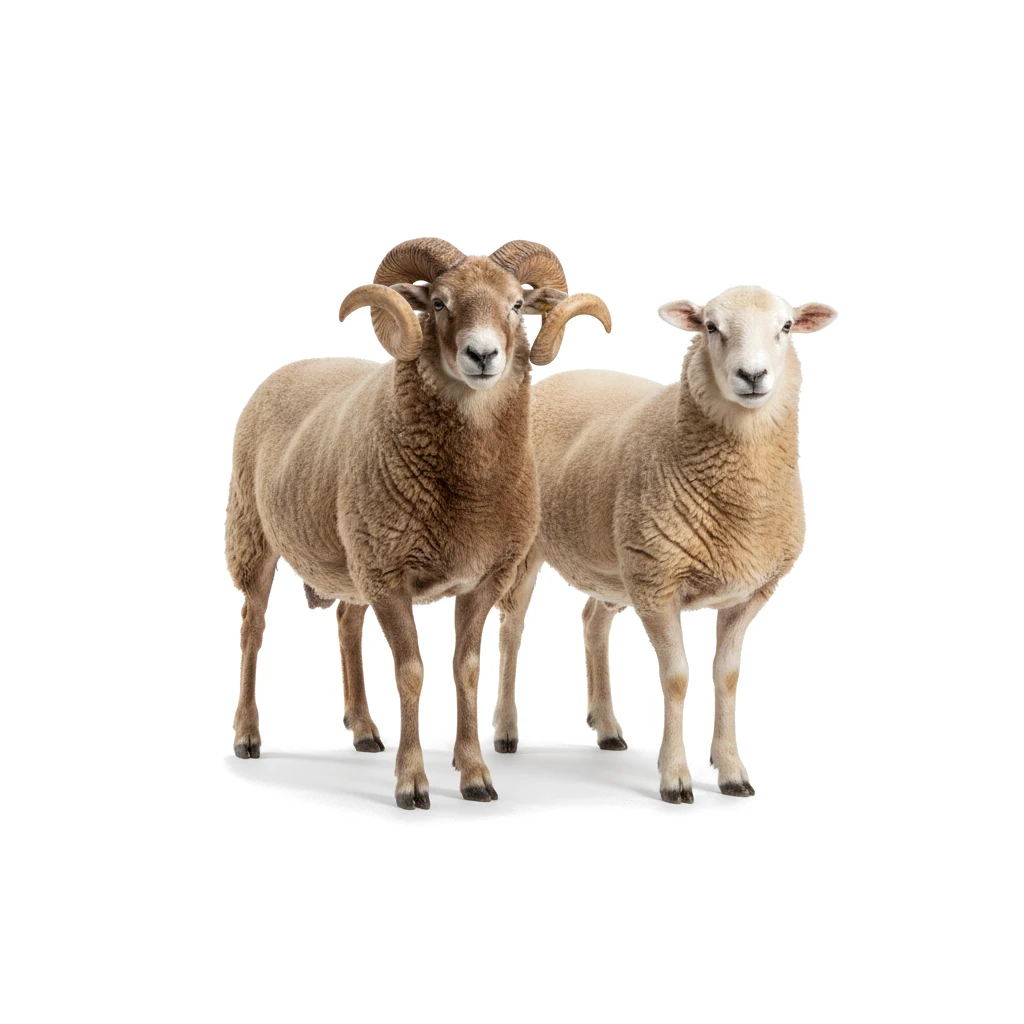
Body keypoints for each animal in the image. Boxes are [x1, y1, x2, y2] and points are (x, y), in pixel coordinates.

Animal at [225, 238, 611, 809]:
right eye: (438, 303)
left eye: (516, 305)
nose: (482, 355)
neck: (469, 495)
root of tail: (292, 367)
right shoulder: (390, 578)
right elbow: (411, 672)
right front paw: (411, 783)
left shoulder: (481, 578)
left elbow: (466, 669)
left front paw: (474, 773)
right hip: (255, 536)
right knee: (253, 628)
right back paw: (247, 736)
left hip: (353, 558)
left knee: (347, 624)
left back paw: (364, 729)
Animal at [492, 285, 837, 803]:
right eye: (710, 327)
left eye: (787, 326)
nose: (752, 376)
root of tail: (550, 383)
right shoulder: (657, 585)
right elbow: (676, 677)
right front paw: (675, 776)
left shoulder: (749, 593)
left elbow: (726, 676)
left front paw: (731, 769)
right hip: (529, 551)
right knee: (511, 630)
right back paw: (506, 730)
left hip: (615, 569)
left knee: (592, 622)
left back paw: (606, 726)